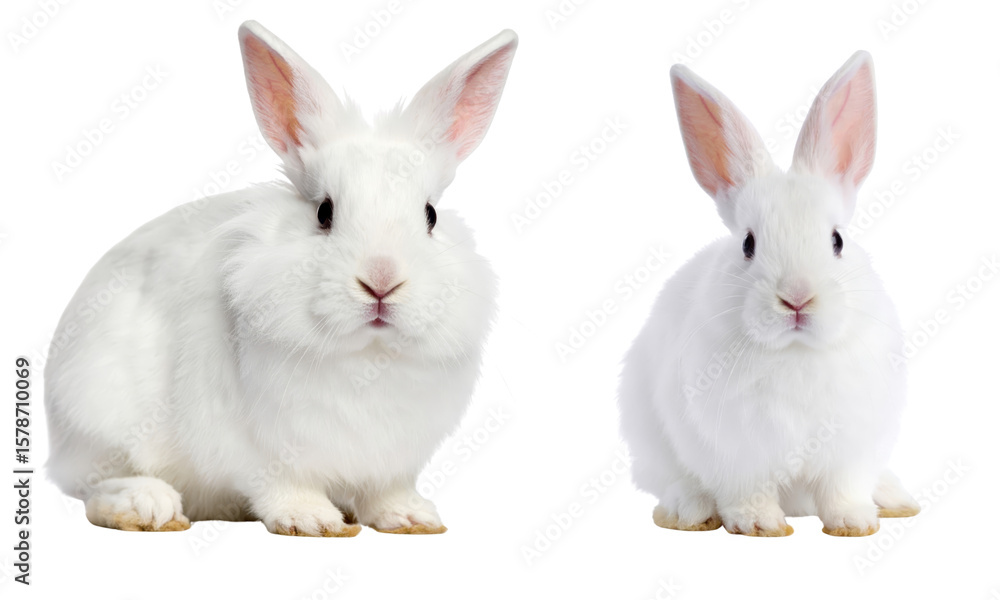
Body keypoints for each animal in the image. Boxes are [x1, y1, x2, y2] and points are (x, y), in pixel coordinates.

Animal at [43, 21, 517, 536]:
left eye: (430, 215)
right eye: (324, 212)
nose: (381, 281)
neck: (367, 356)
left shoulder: (394, 460)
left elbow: (387, 491)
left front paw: (411, 518)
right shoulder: (256, 447)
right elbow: (282, 484)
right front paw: (313, 520)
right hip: (97, 414)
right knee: (94, 485)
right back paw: (148, 506)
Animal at [618, 51, 921, 537]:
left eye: (837, 240)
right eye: (748, 243)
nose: (797, 298)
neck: (794, 352)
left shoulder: (849, 449)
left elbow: (843, 489)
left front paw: (854, 523)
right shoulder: (735, 453)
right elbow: (747, 492)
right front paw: (760, 525)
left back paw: (895, 500)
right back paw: (689, 512)